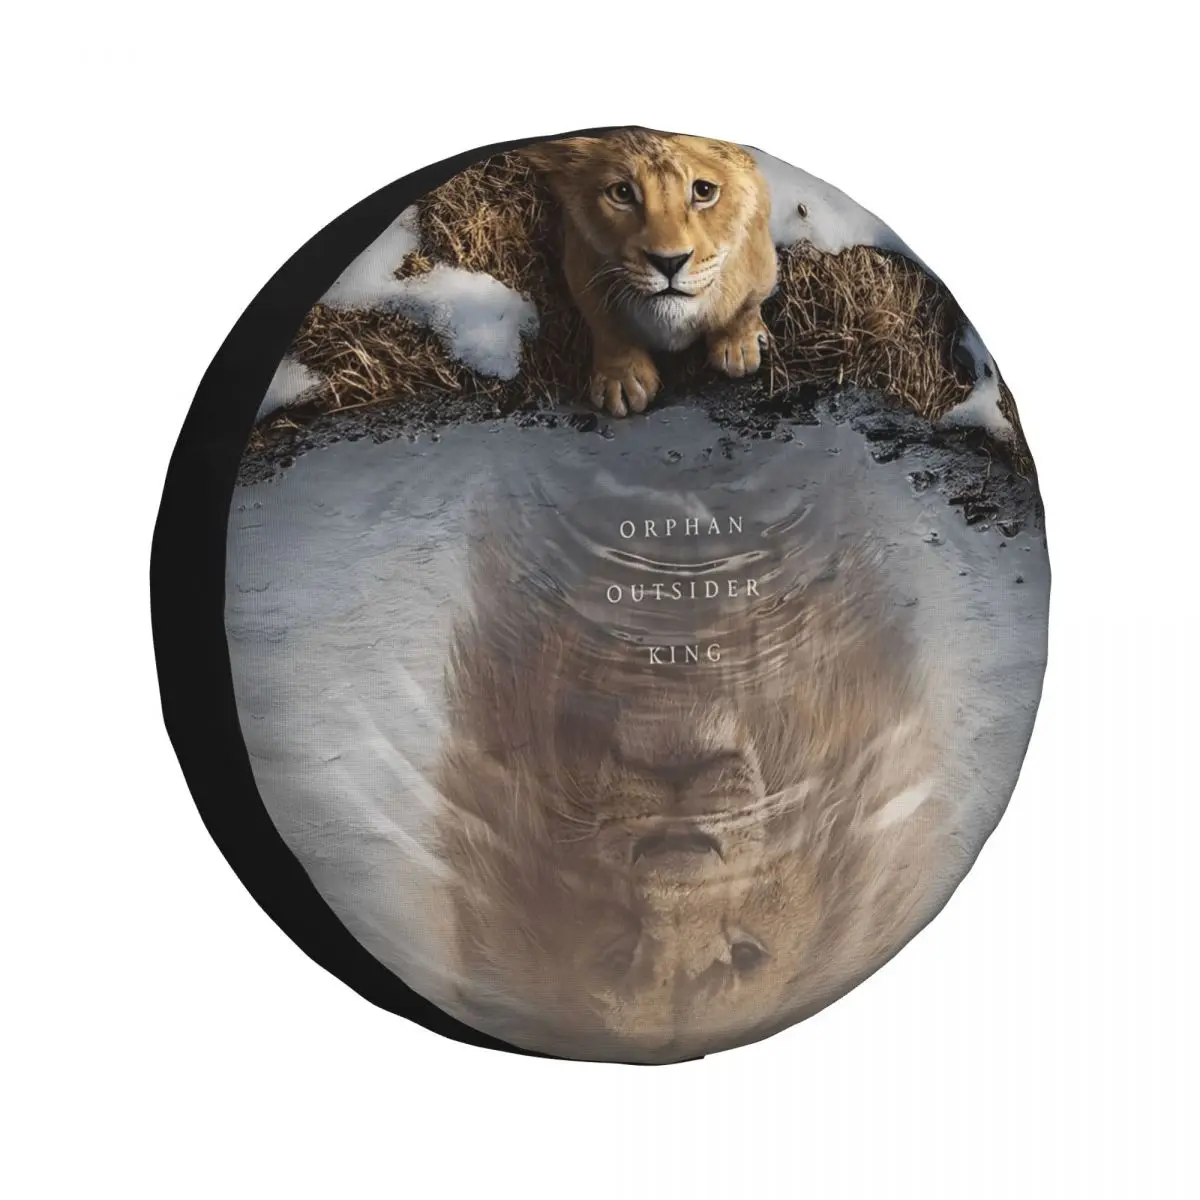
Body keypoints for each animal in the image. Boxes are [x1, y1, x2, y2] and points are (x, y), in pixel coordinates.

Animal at [520, 129, 778, 417]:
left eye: (704, 191)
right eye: (621, 193)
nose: (669, 262)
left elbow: (747, 301)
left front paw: (738, 344)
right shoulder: (579, 255)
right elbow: (604, 320)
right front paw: (621, 380)